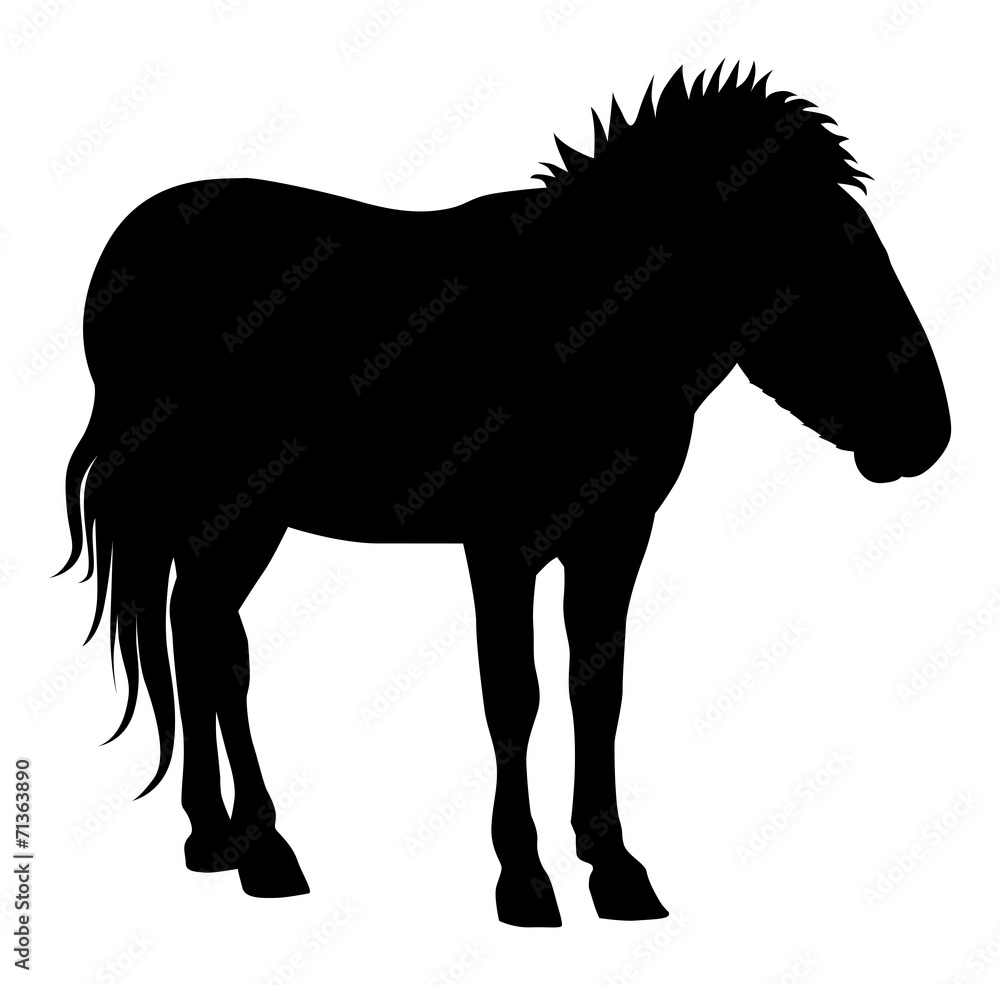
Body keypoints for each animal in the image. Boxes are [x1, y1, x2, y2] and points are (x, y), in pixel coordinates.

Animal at [59, 61, 951, 927]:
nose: (929, 435)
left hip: (238, 515)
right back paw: (260, 848)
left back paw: (221, 837)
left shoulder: (613, 535)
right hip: (234, 504)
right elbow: (513, 697)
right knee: (213, 644)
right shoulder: (501, 544)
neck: (579, 323)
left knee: (198, 633)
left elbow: (598, 690)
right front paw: (523, 878)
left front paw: (615, 868)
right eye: (821, 258)